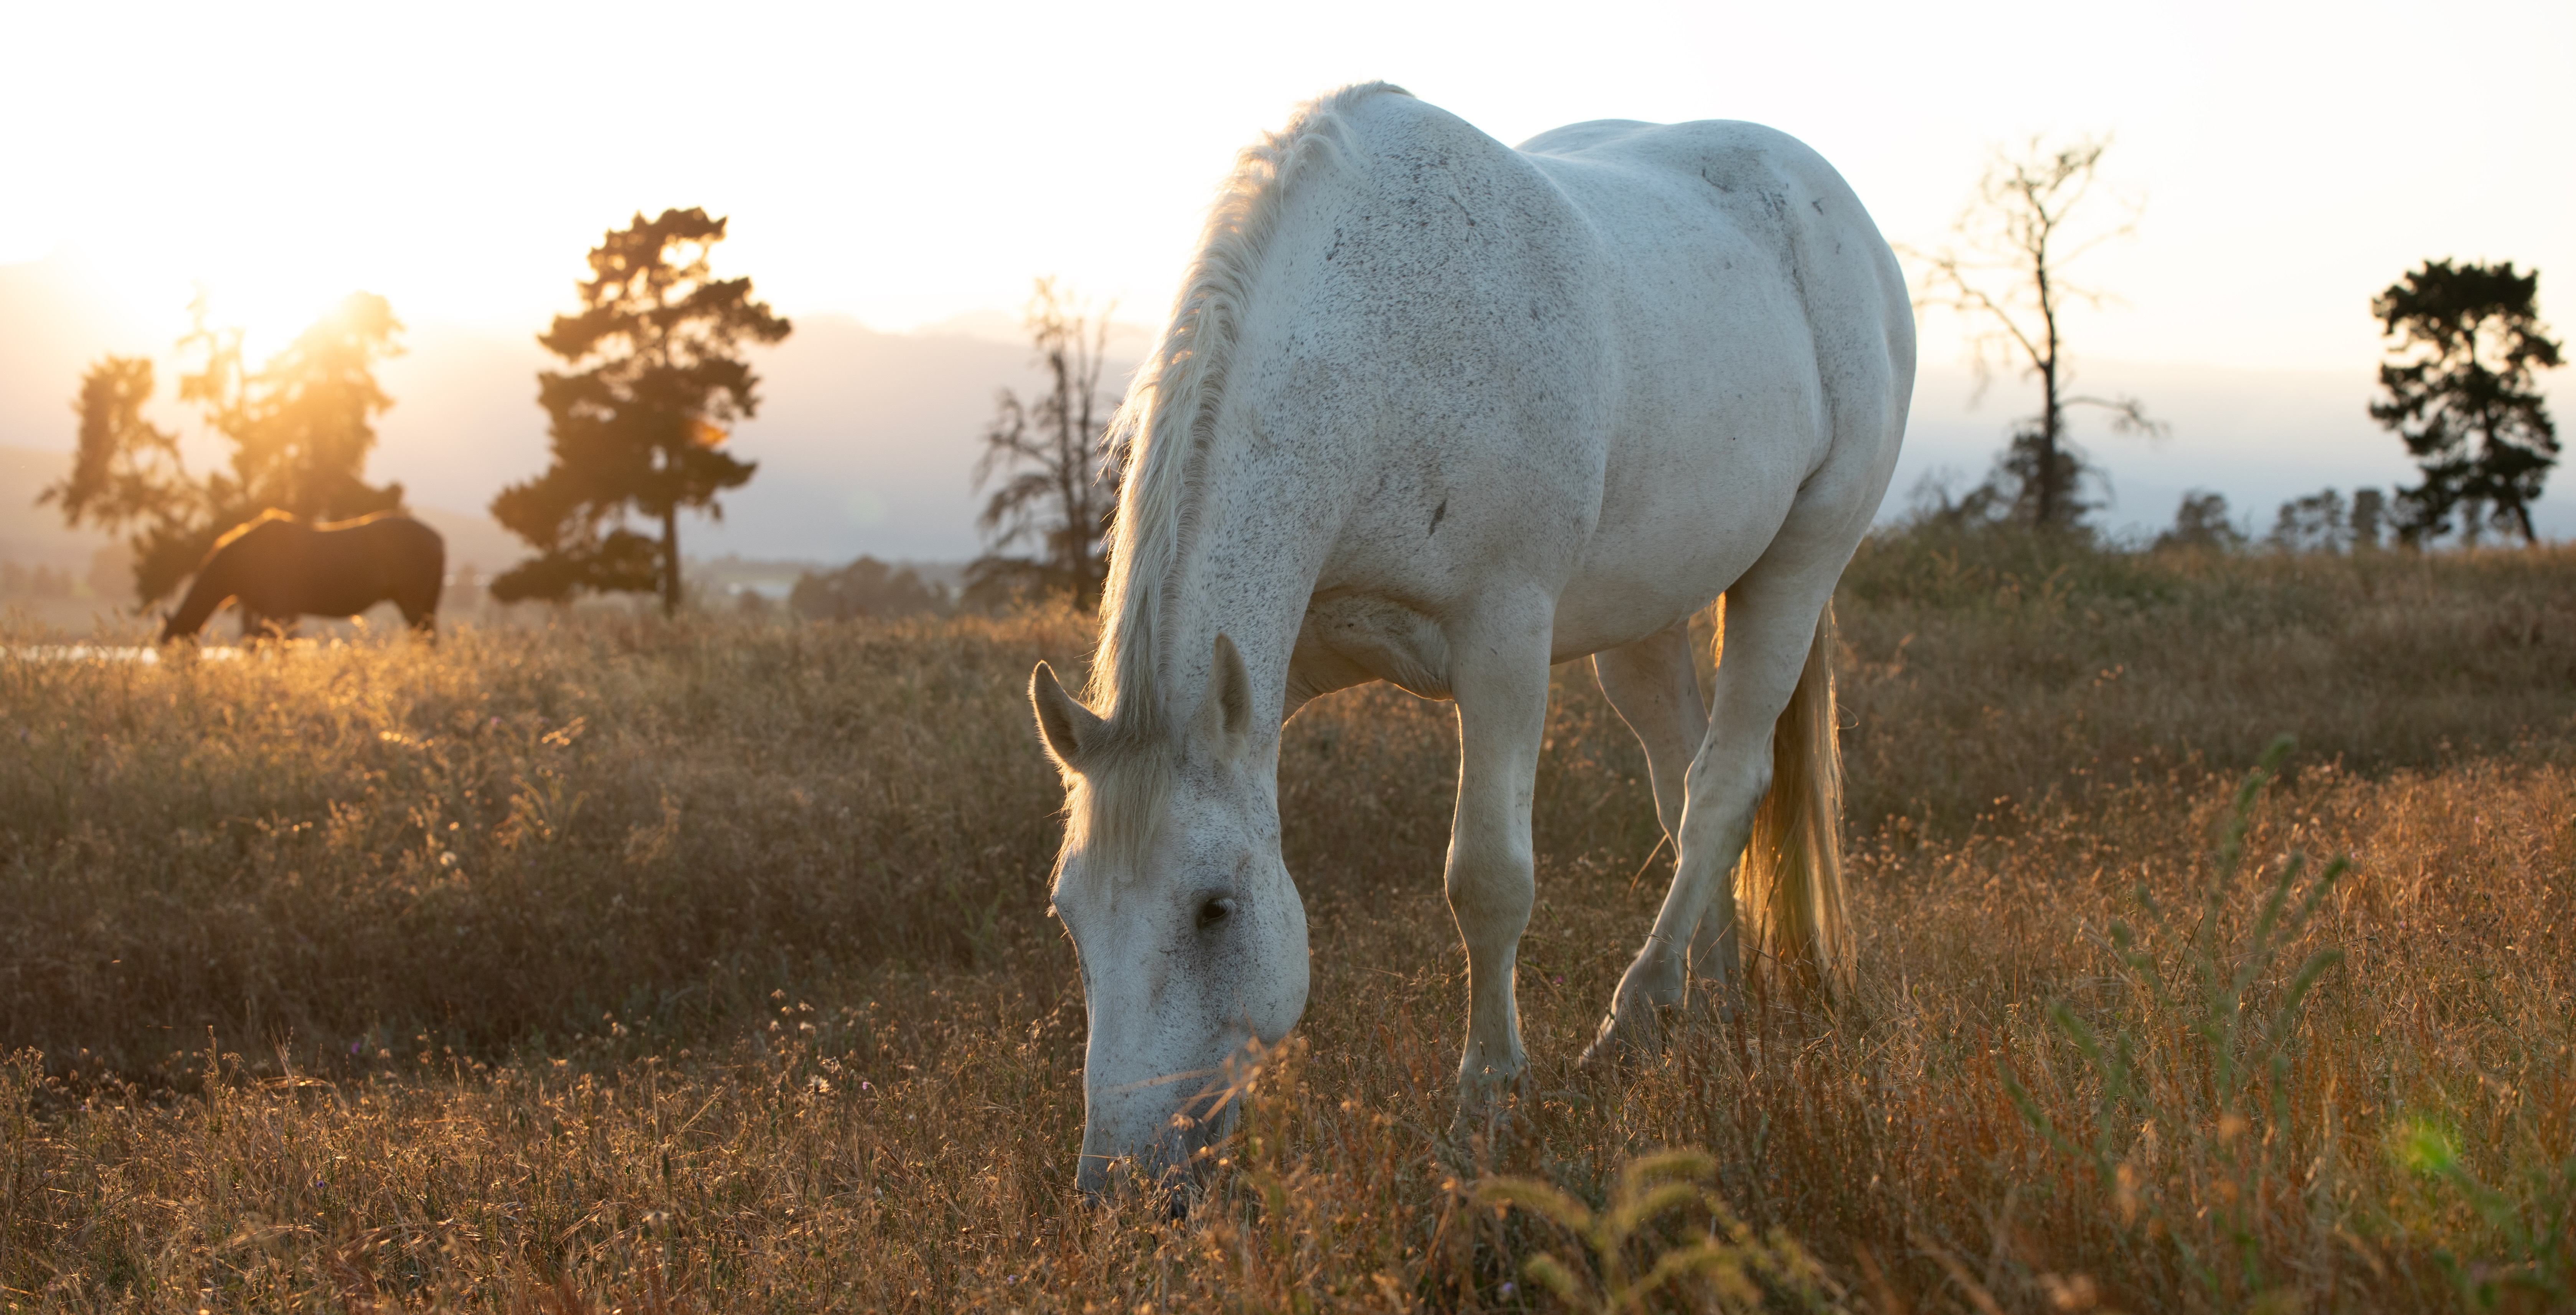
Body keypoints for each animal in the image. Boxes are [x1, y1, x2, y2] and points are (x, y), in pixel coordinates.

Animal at [159, 510, 446, 643]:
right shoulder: (277, 613)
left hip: (413, 604)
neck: (244, 559)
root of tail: (438, 539)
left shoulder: (277, 611)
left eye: (173, 647)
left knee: (424, 638)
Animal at [1025, 84, 1913, 1196]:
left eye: (1214, 908)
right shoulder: (1281, 672)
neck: (1384, 338)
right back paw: (1705, 999)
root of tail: (1835, 208)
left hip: (1798, 565)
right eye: (1071, 914)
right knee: (1683, 783)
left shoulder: (1505, 643)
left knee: (1725, 782)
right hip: (1647, 617)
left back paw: (1633, 1019)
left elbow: (1486, 878)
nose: (1124, 1185)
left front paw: (1486, 1105)